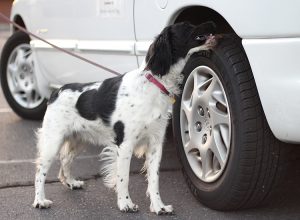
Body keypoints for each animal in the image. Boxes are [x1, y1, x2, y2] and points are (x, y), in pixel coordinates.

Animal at [32, 21, 216, 215]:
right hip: (53, 141)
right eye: (188, 26)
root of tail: (56, 92)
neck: (152, 84)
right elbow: (124, 178)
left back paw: (71, 182)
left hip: (78, 139)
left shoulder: (155, 144)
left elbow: (154, 180)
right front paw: (125, 203)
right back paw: (40, 200)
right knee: (40, 171)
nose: (212, 22)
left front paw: (159, 206)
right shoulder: (125, 144)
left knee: (65, 160)